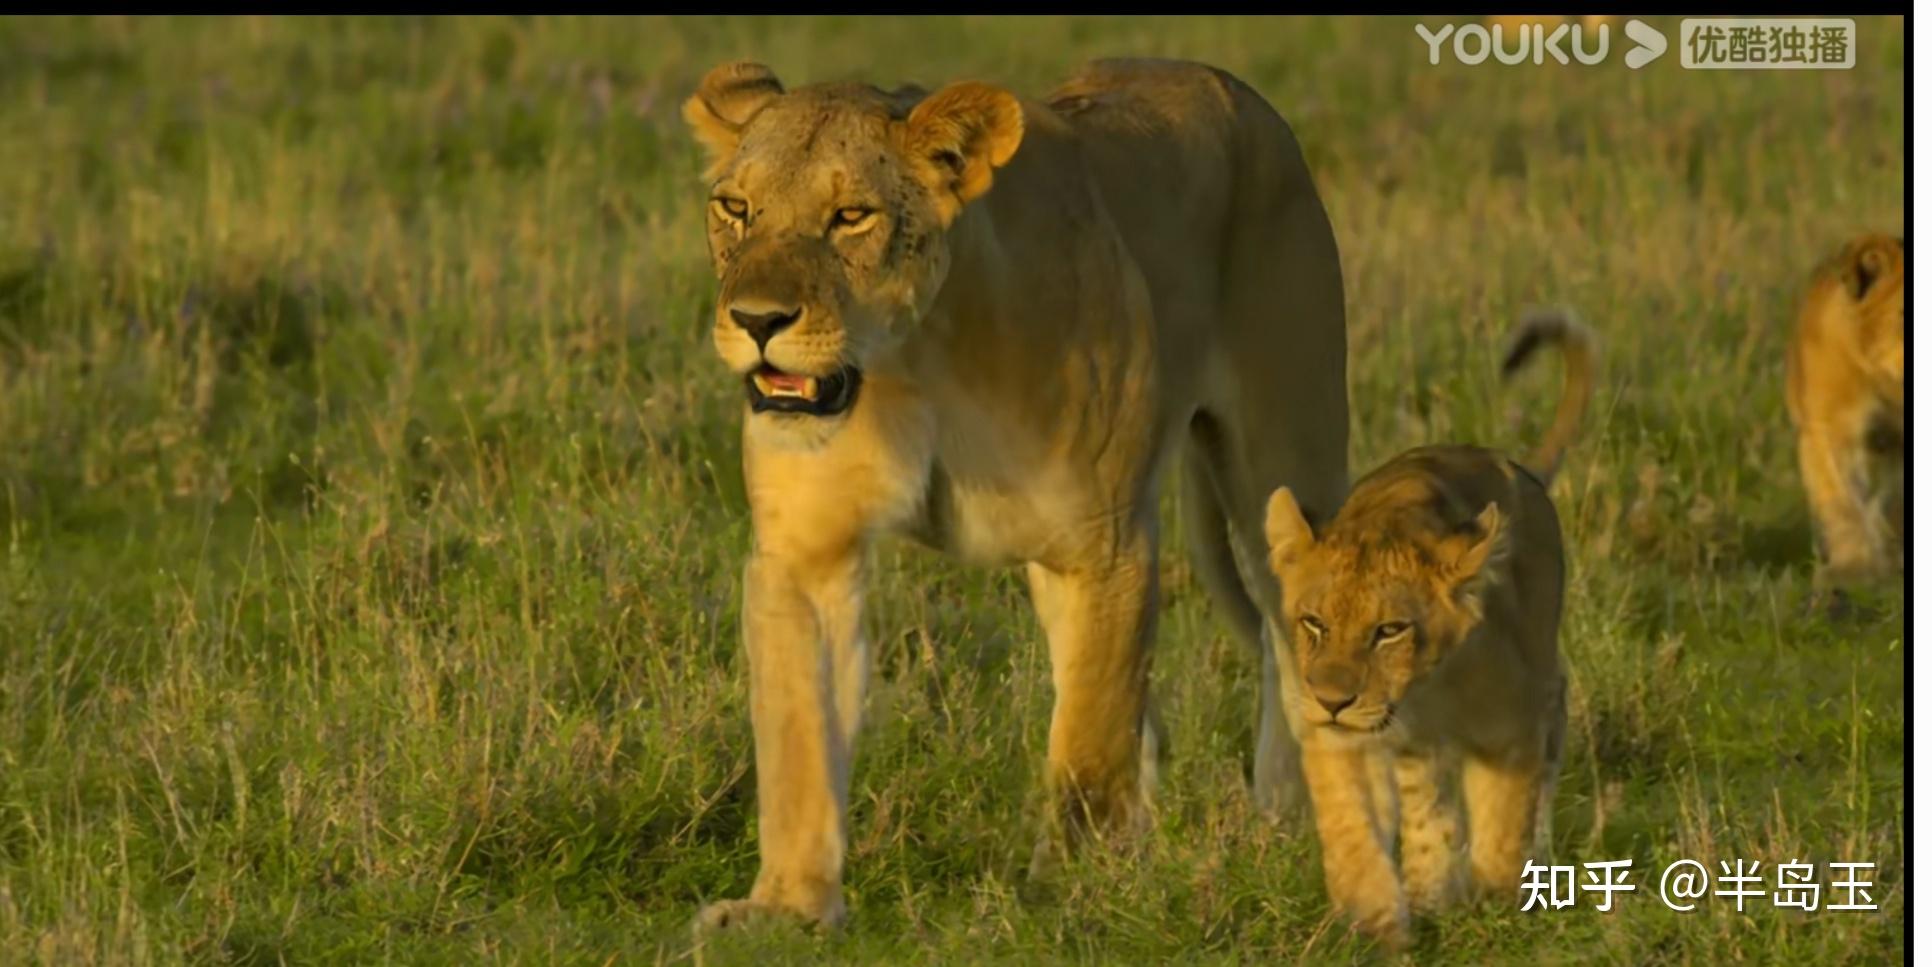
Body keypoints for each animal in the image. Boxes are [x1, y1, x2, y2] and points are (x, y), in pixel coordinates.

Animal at [687, 58, 1352, 926]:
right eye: (736, 207)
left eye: (850, 216)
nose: (757, 320)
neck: (914, 355)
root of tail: (1229, 83)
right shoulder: (805, 552)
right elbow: (798, 739)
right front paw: (787, 908)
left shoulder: (1102, 546)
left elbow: (1088, 743)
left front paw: (1074, 888)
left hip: (1287, 459)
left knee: (1289, 636)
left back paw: (1285, 820)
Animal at [1259, 310, 1591, 949]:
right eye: (1314, 623)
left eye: (1389, 630)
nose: (1332, 700)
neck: (1420, 693)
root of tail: (1520, 469)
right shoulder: (1340, 738)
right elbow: (1353, 827)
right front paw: (1374, 923)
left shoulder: (1508, 723)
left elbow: (1503, 817)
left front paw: (1496, 897)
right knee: (1426, 803)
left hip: (1539, 664)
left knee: (1550, 734)